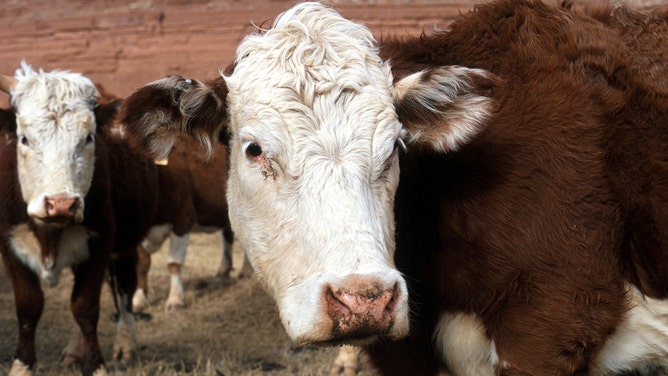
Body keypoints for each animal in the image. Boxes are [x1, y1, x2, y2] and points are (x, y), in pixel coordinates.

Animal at [0, 62, 158, 376]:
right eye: (24, 138)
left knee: (125, 286)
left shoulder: (100, 242)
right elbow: (28, 306)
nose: (61, 204)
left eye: (88, 138)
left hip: (124, 245)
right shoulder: (9, 243)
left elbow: (85, 307)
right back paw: (74, 351)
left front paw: (95, 365)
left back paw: (125, 344)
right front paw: (22, 365)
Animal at [130, 137, 250, 312]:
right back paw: (224, 269)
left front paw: (175, 300)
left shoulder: (183, 220)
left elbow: (174, 263)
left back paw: (246, 271)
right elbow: (142, 264)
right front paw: (138, 299)